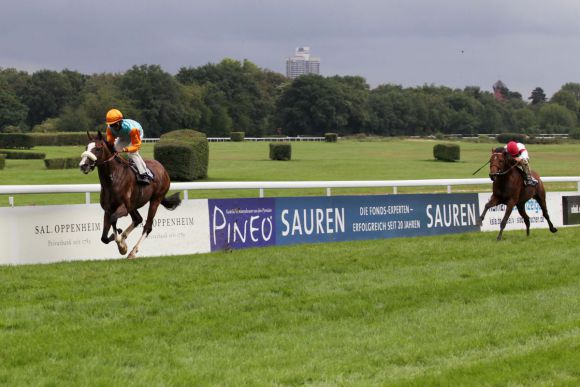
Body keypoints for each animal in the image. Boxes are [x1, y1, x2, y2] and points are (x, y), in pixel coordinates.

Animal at [78, 132, 180, 260]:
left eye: (98, 148)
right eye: (86, 147)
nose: (83, 165)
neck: (112, 179)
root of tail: (162, 168)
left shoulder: (123, 208)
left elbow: (113, 219)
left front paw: (121, 243)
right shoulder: (108, 209)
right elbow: (104, 237)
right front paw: (120, 241)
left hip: (155, 200)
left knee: (147, 226)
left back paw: (132, 252)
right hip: (133, 205)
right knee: (137, 219)